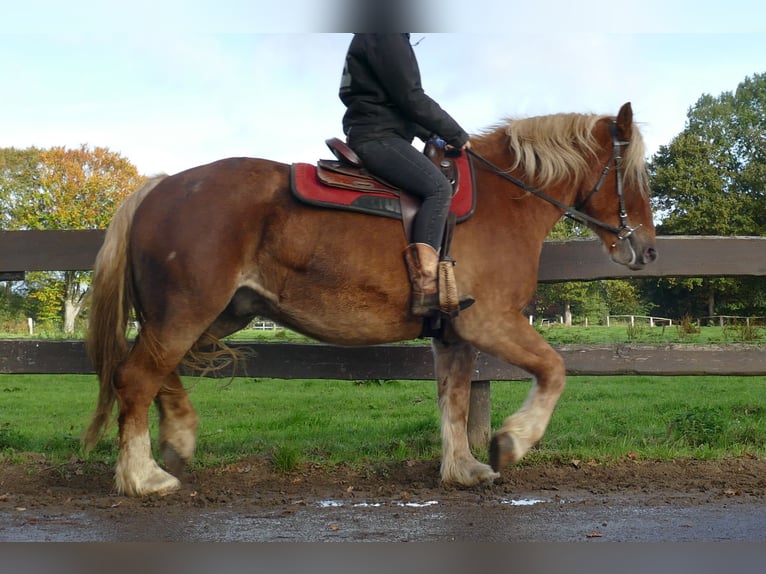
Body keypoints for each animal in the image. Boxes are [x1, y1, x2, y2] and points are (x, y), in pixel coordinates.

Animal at [83, 102, 657, 496]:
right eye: (632, 174)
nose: (647, 249)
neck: (504, 200)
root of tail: (159, 188)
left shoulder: (454, 332)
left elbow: (453, 398)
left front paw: (462, 468)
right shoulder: (491, 322)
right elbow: (554, 369)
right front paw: (512, 441)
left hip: (217, 313)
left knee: (157, 372)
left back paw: (177, 439)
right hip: (186, 312)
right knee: (136, 377)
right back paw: (142, 476)